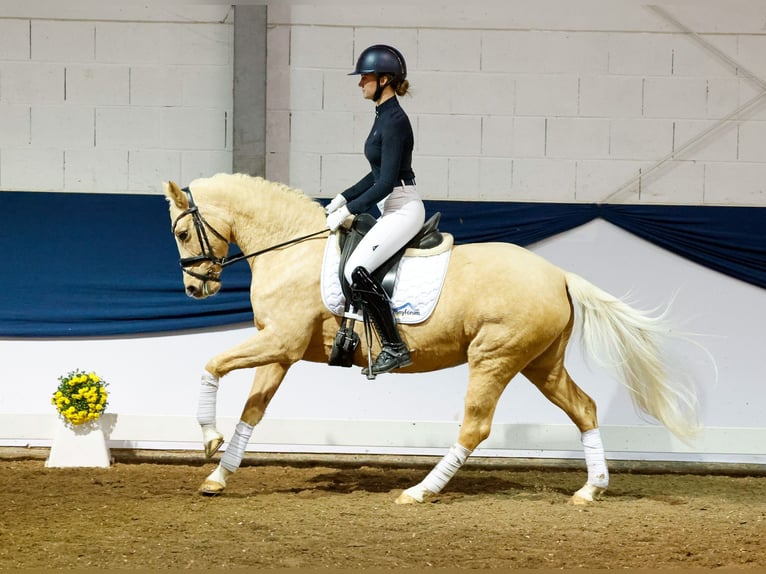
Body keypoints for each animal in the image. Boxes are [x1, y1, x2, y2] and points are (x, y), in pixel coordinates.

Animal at [164, 173, 704, 506]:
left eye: (182, 233)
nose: (196, 289)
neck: (293, 248)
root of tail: (559, 275)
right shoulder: (281, 350)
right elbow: (252, 411)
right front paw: (218, 475)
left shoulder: (280, 343)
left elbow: (211, 366)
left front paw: (208, 440)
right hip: (540, 363)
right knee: (585, 408)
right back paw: (591, 490)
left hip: (493, 357)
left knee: (475, 427)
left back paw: (421, 491)